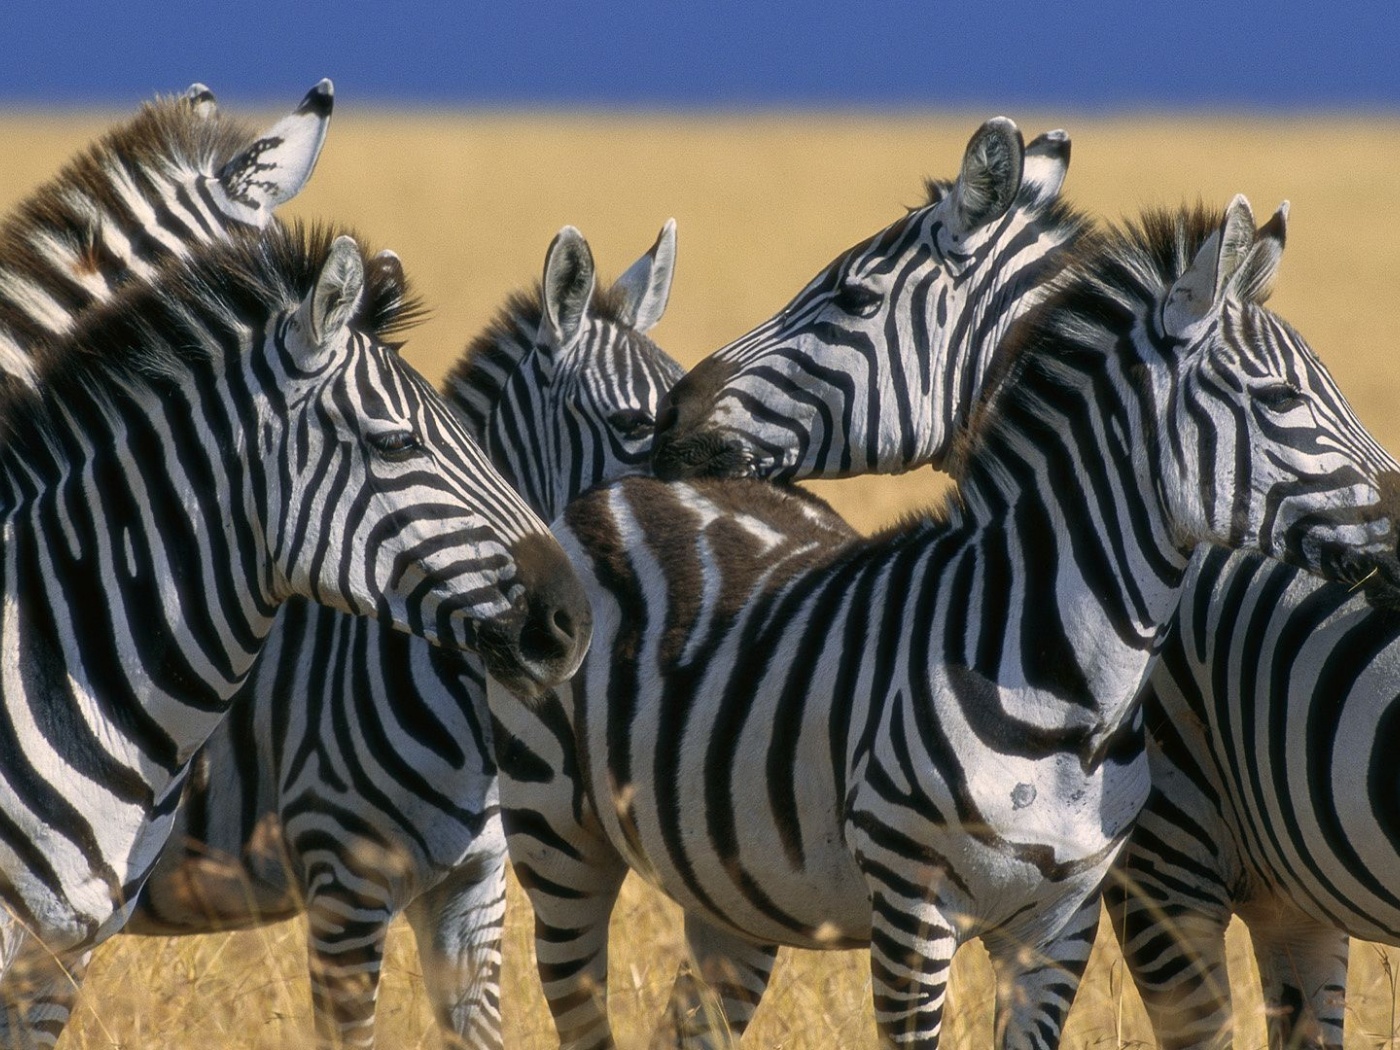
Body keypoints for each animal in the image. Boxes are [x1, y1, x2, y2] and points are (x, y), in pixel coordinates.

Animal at [501, 198, 1400, 1050]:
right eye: (1282, 398)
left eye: (853, 295)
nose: (676, 423)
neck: (1066, 686)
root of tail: (612, 490)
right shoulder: (933, 904)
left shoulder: (1064, 923)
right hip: (558, 835)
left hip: (726, 878)